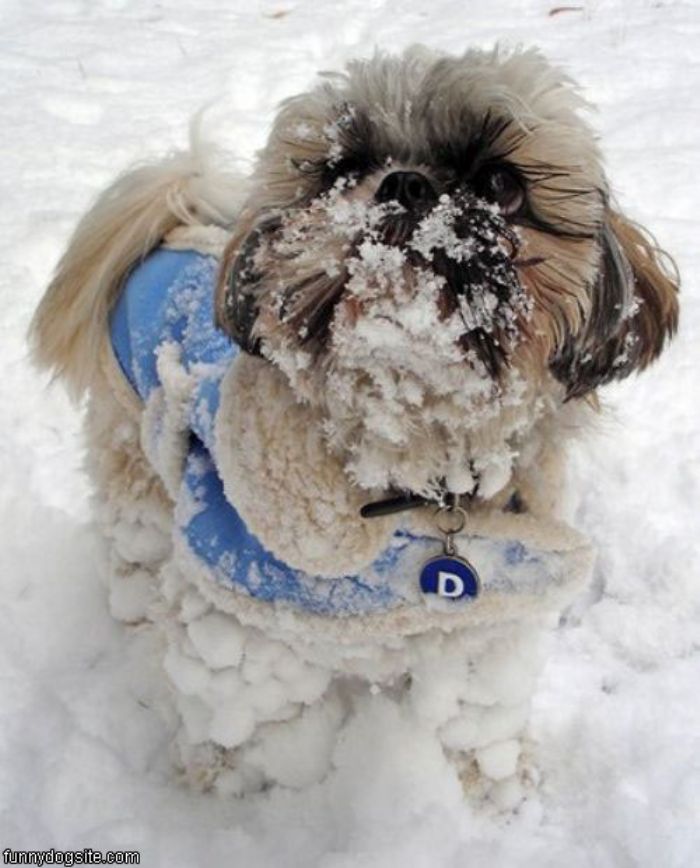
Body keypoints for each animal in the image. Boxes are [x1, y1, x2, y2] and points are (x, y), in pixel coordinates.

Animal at [28, 45, 680, 808]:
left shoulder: (489, 620)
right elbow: (249, 724)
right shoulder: (240, 631)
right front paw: (241, 801)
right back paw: (137, 612)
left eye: (501, 182)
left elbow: (478, 716)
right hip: (134, 463)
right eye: (342, 168)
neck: (412, 462)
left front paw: (497, 792)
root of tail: (177, 226)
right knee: (133, 545)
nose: (406, 184)